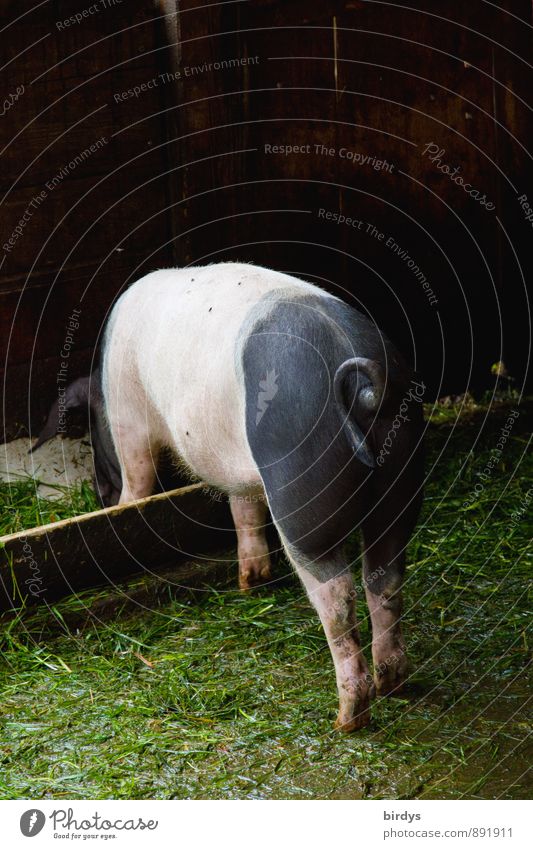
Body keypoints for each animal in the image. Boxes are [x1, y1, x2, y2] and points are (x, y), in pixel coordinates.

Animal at [101, 264, 424, 728]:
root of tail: (366, 389)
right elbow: (244, 507)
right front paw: (251, 582)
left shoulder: (126, 409)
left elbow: (137, 476)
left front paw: (123, 508)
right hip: (402, 478)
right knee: (385, 578)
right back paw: (393, 684)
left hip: (299, 487)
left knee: (337, 595)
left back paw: (347, 719)